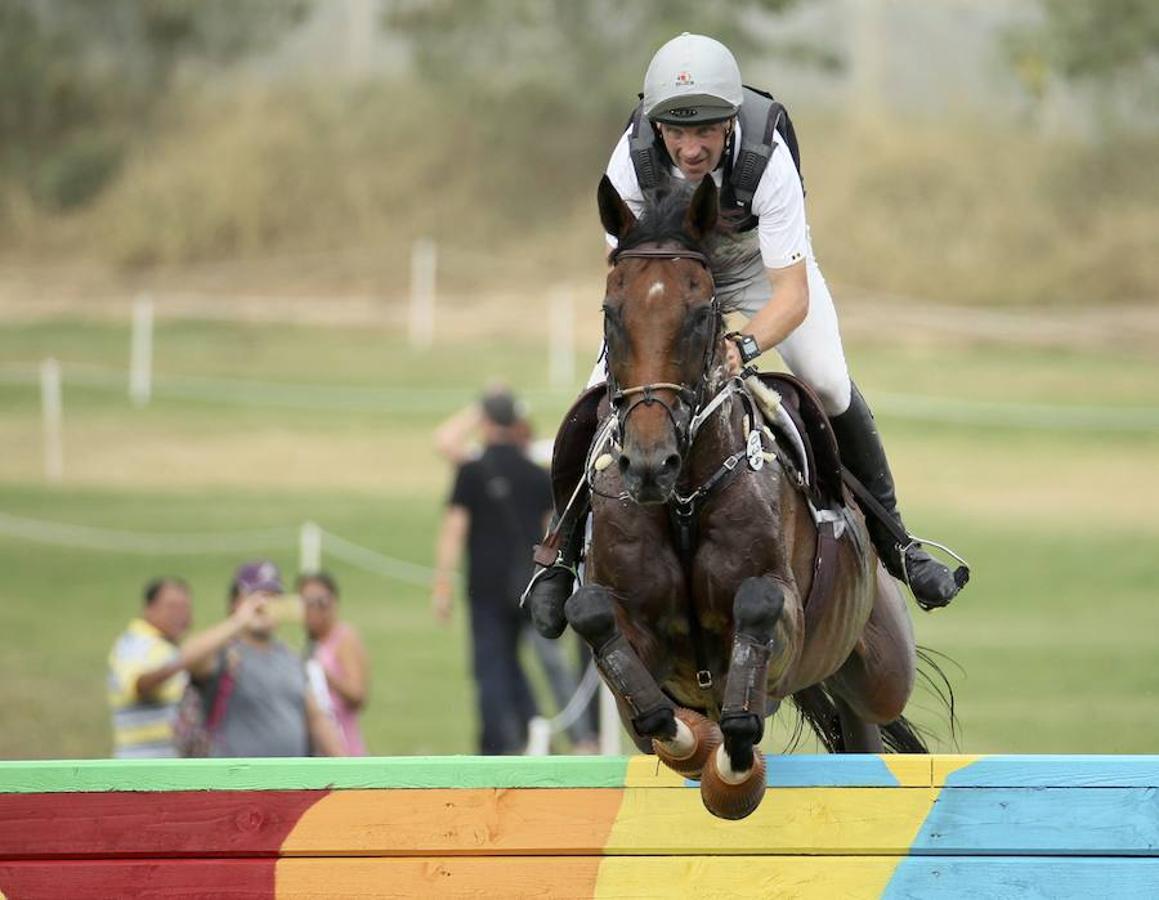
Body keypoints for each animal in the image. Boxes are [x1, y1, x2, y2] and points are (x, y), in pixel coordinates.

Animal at [556, 172, 927, 820]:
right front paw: (691, 744)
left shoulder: (783, 620)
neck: (681, 502)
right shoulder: (631, 644)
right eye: (610, 312)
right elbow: (601, 629)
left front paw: (733, 770)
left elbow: (757, 615)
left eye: (700, 313)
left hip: (879, 670)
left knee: (867, 719)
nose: (649, 464)